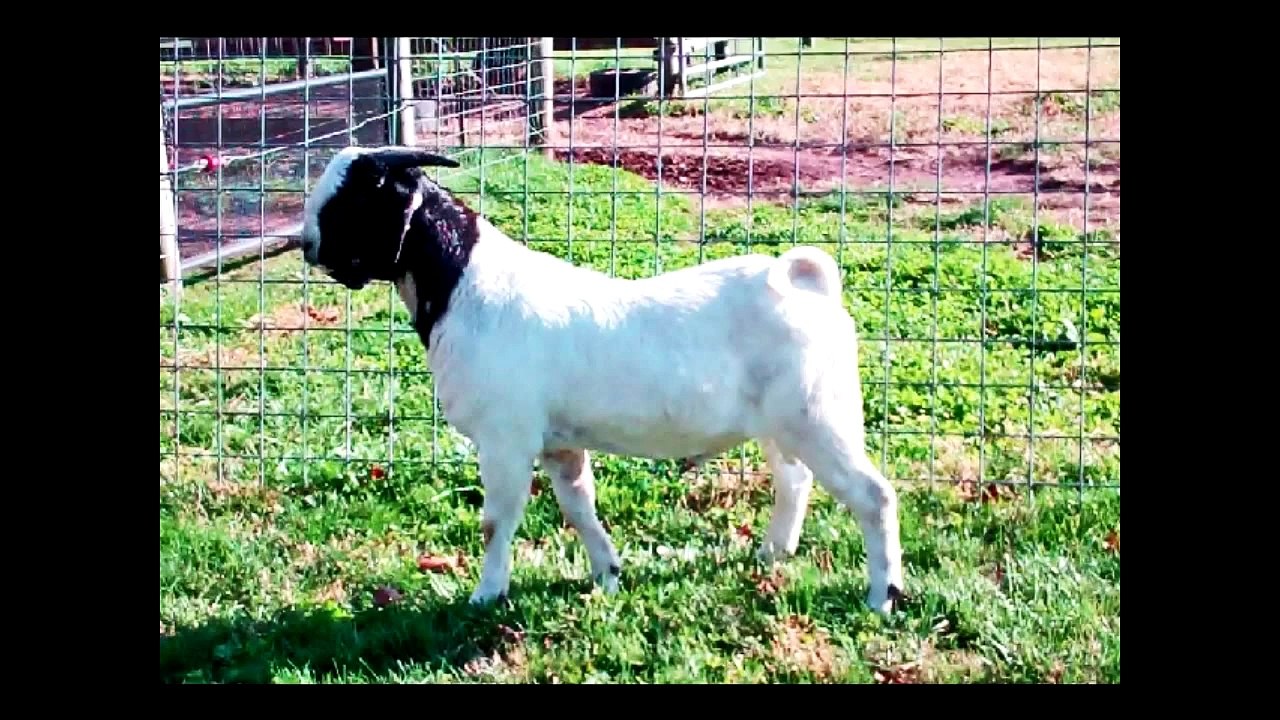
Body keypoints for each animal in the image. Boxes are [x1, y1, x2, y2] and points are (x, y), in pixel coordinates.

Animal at [298, 146, 906, 615]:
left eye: (354, 198)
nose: (307, 245)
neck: (464, 285)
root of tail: (804, 281)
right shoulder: (558, 444)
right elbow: (577, 506)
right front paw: (607, 573)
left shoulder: (505, 439)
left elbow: (497, 521)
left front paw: (486, 595)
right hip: (783, 424)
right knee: (795, 481)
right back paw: (773, 553)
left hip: (819, 417)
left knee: (874, 495)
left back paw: (882, 596)